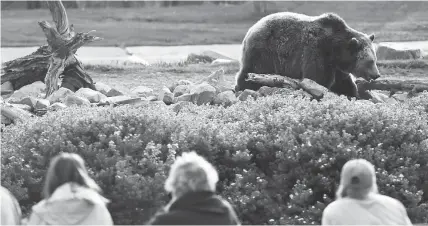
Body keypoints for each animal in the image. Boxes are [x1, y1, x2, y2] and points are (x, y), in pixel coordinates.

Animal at [234, 12, 382, 97]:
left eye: (375, 59)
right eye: (369, 61)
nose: (376, 75)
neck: (336, 50)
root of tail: (251, 29)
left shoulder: (337, 66)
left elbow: (343, 82)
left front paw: (352, 93)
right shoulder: (317, 52)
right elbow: (317, 78)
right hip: (265, 51)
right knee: (254, 69)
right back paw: (244, 86)